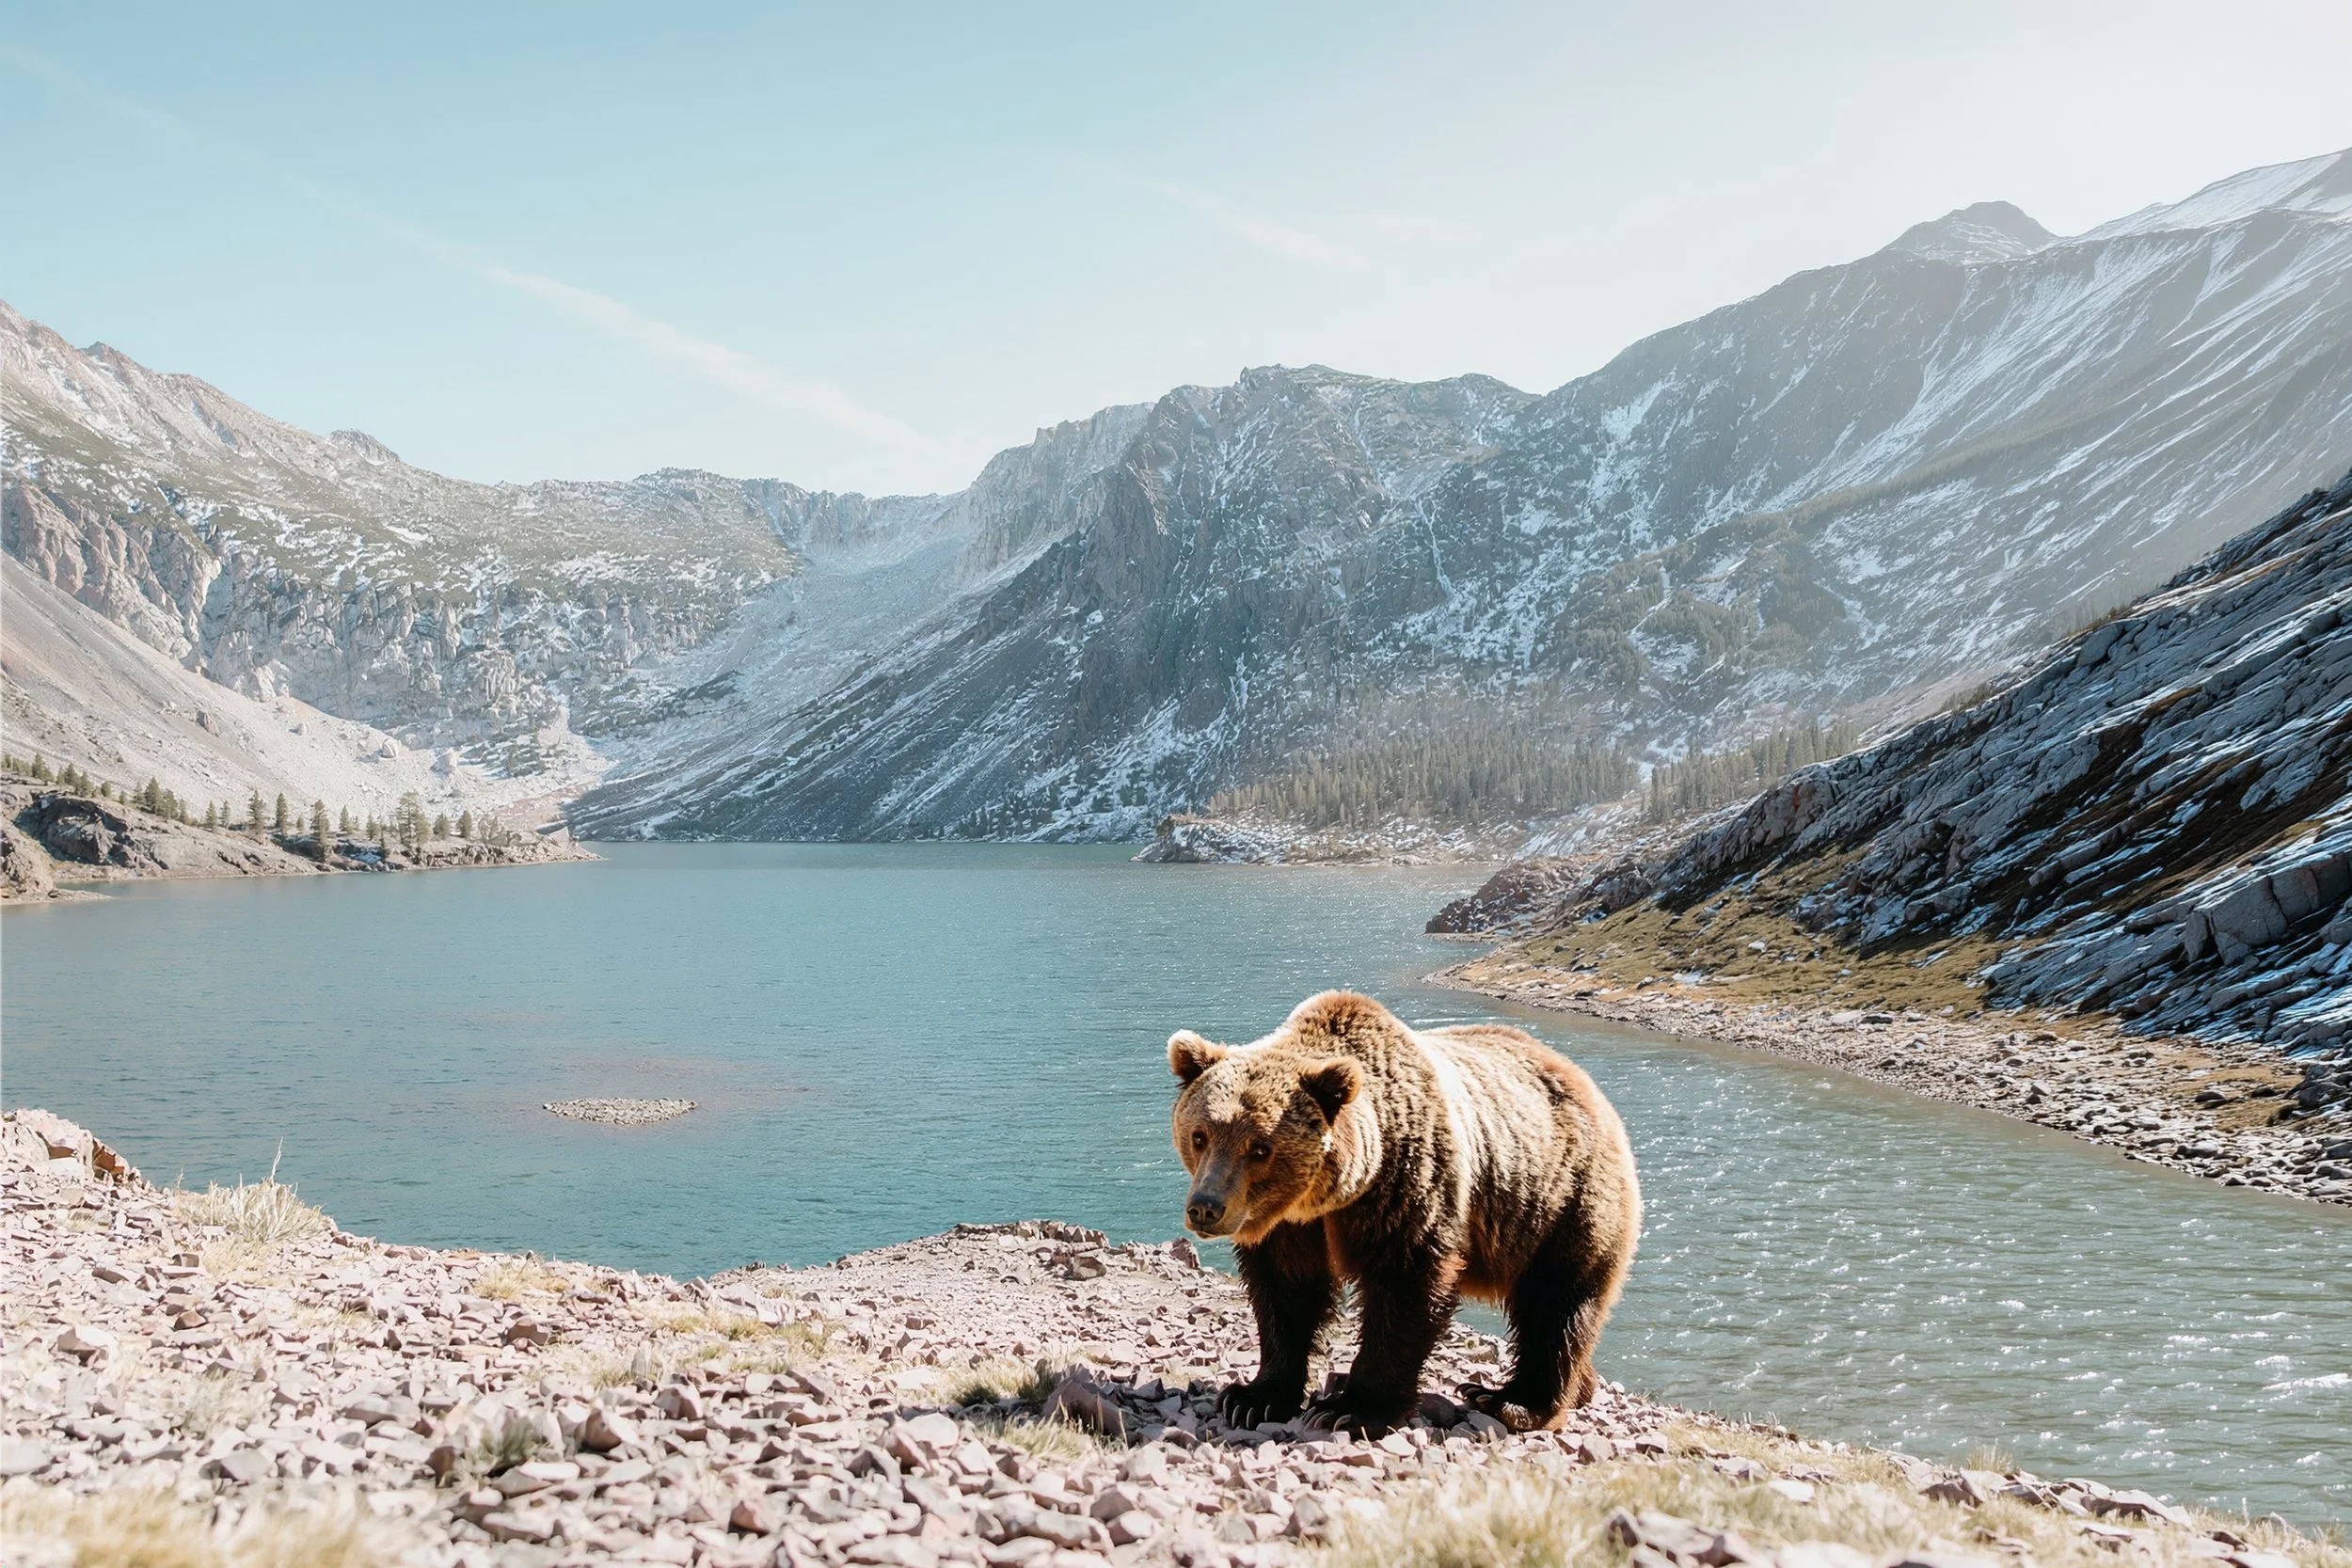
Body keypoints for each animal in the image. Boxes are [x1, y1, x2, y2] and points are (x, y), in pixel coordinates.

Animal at [1168, 990, 1640, 1436]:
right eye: (1200, 1135)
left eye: (1260, 1148)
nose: (1206, 1208)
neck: (1328, 1198)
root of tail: (1585, 1084)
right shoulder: (1290, 1227)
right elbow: (1286, 1292)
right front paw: (1254, 1398)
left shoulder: (1405, 1187)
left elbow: (1404, 1288)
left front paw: (1352, 1409)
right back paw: (1576, 1388)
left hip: (1559, 1201)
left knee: (1556, 1302)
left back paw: (1513, 1402)